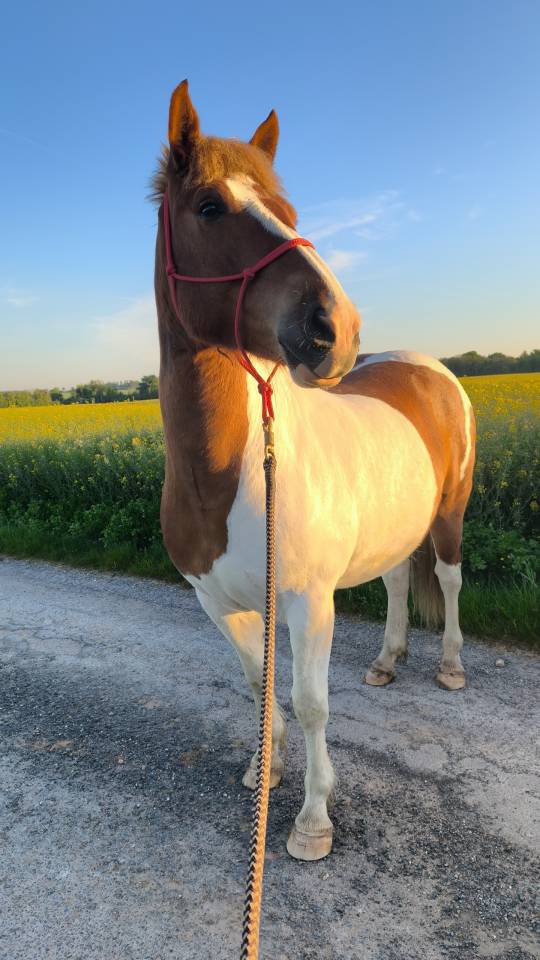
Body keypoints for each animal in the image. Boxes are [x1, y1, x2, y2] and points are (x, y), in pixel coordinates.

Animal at [152, 80, 476, 861]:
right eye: (210, 207)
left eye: (290, 212)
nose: (338, 326)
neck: (230, 475)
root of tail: (427, 366)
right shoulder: (219, 603)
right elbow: (256, 685)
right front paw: (261, 774)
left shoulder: (307, 602)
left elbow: (308, 703)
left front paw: (311, 820)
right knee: (397, 582)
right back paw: (388, 660)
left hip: (450, 515)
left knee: (448, 580)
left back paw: (449, 665)